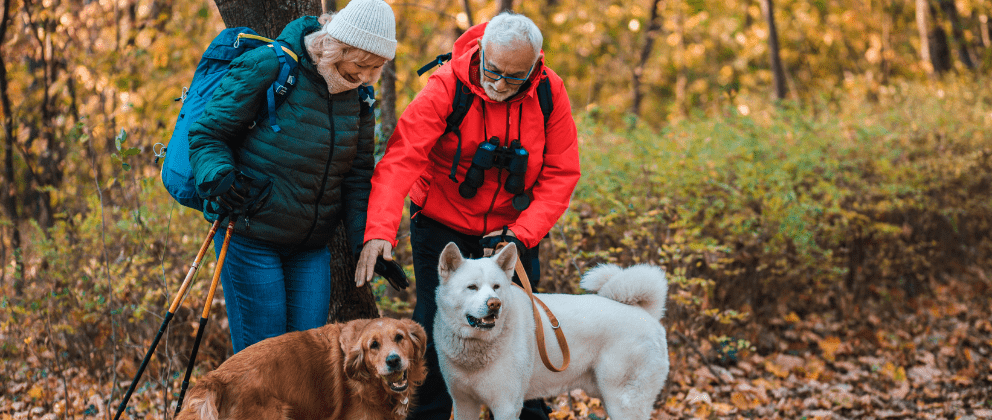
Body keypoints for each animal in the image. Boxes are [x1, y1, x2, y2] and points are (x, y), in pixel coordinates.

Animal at [432, 241, 672, 420]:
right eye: (472, 287)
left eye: (496, 287)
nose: (494, 304)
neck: (476, 350)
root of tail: (646, 314)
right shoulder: (463, 402)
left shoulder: (506, 406)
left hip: (623, 403)